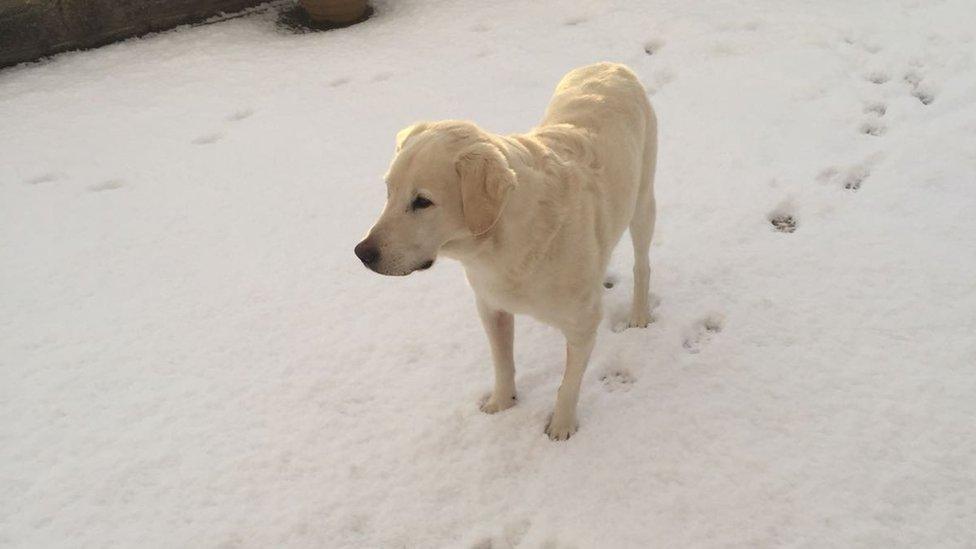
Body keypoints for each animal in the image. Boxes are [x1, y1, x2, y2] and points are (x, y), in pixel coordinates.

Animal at [352, 62, 656, 438]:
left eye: (422, 202)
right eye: (389, 191)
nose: (361, 253)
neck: (500, 246)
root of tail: (610, 65)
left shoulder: (583, 325)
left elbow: (568, 385)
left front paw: (561, 427)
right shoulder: (490, 306)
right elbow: (502, 363)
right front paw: (501, 404)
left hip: (642, 204)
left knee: (642, 264)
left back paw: (640, 314)